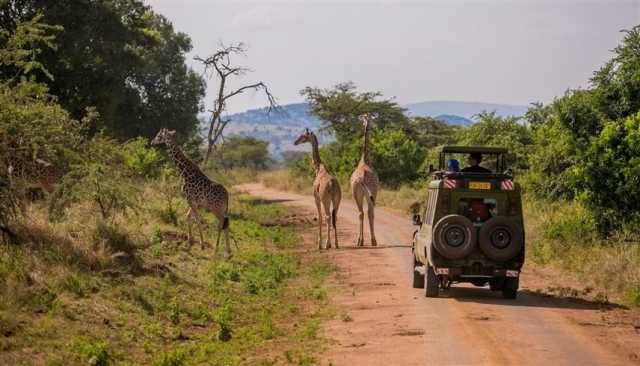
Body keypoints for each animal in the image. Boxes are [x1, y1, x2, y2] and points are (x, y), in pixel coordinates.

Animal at [151, 129, 231, 258]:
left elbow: (197, 220)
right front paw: (190, 240)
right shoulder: (196, 202)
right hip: (221, 208)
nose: (152, 141)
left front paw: (202, 245)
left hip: (216, 208)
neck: (183, 172)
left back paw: (222, 250)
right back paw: (224, 250)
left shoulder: (190, 199)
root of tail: (227, 195)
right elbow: (188, 216)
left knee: (223, 223)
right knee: (224, 223)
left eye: (159, 135)